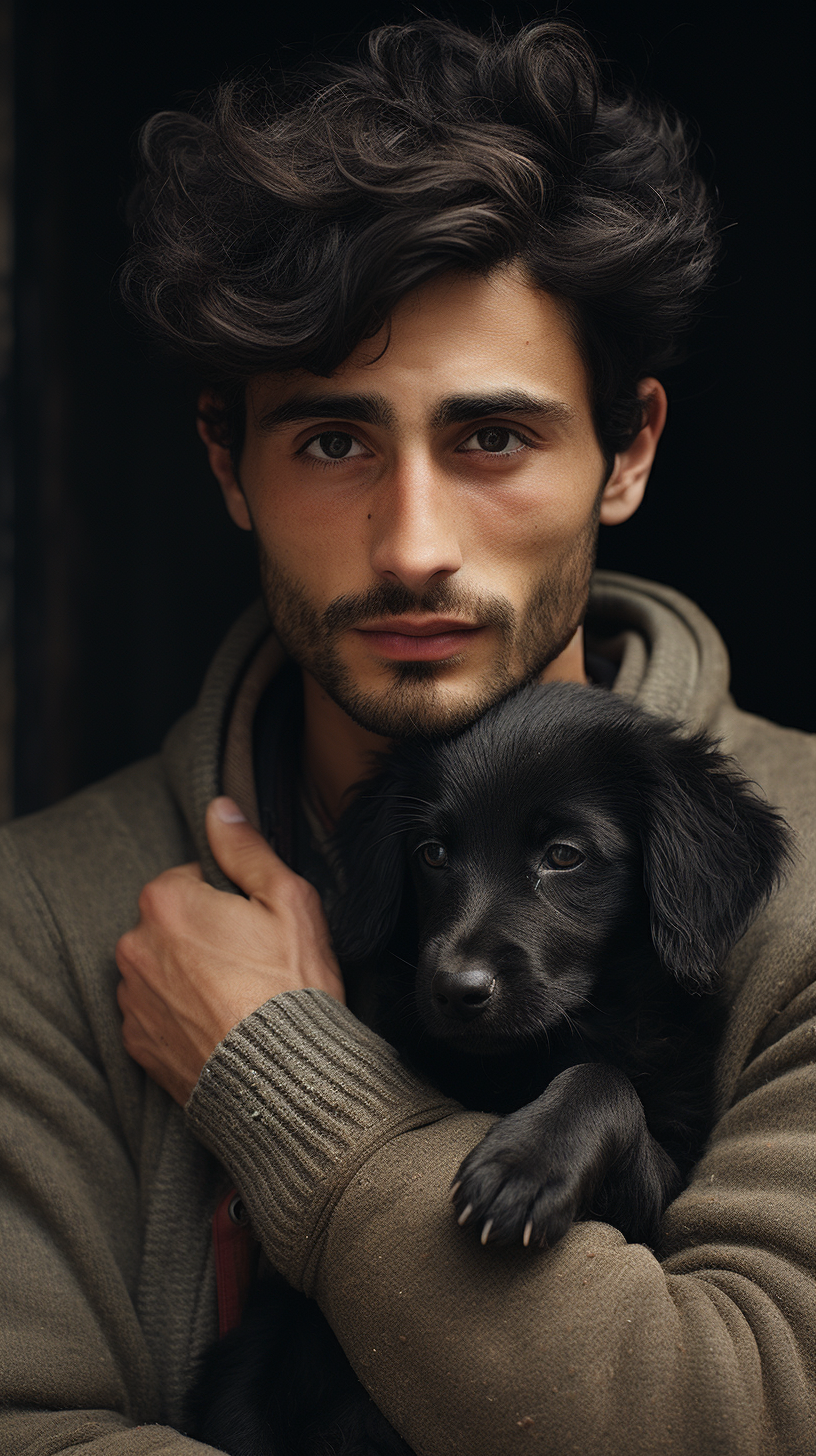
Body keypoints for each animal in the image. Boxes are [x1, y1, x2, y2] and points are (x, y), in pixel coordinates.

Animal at [186, 687, 792, 1456]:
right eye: (433, 852)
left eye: (564, 855)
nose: (455, 990)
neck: (534, 1052)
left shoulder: (660, 1188)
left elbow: (602, 1078)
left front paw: (522, 1168)